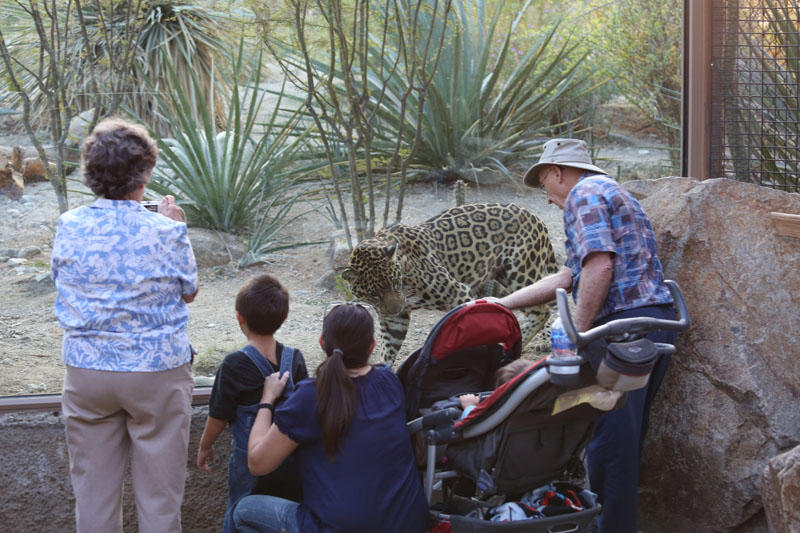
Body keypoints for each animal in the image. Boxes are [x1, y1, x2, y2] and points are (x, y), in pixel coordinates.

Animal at [341, 203, 560, 364]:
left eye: (396, 282)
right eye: (374, 293)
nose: (395, 309)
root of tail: (533, 215)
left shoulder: (458, 293)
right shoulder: (393, 320)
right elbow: (388, 350)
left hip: (520, 273)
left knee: (543, 309)